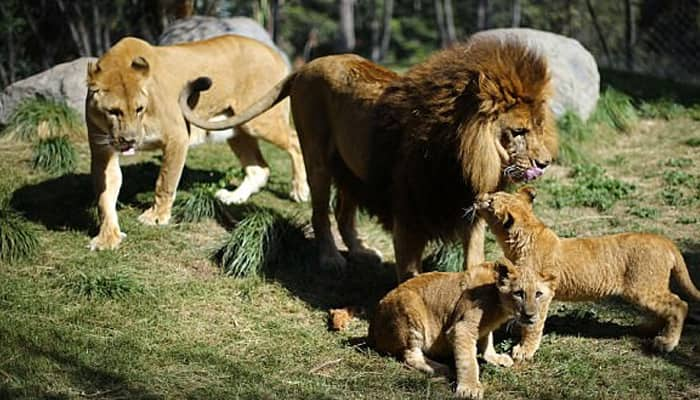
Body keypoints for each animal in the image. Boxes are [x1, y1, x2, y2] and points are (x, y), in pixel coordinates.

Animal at [85, 36, 308, 252]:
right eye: (113, 111)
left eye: (139, 109)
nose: (130, 140)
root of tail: (274, 52)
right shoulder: (102, 151)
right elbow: (105, 196)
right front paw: (107, 238)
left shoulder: (177, 137)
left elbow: (165, 181)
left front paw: (156, 217)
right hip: (237, 129)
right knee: (259, 168)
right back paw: (233, 197)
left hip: (259, 122)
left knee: (295, 142)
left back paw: (299, 190)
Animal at [179, 35, 556, 282]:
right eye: (518, 131)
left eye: (539, 127)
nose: (545, 163)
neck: (462, 158)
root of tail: (308, 65)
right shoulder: (408, 213)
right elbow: (409, 272)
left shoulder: (469, 212)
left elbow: (473, 262)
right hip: (317, 157)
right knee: (321, 214)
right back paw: (331, 259)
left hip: (351, 169)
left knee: (343, 213)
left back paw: (360, 250)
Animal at [370, 258, 556, 398]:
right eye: (519, 293)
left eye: (538, 294)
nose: (530, 315)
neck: (499, 304)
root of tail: (372, 328)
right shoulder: (462, 328)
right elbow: (468, 360)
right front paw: (469, 388)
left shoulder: (484, 328)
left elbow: (487, 341)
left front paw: (495, 358)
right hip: (410, 308)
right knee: (410, 355)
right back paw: (440, 368)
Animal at [476, 188, 700, 354]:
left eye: (491, 201)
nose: (478, 197)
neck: (524, 236)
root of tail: (665, 241)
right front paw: (518, 326)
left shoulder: (543, 292)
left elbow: (534, 325)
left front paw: (523, 351)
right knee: (664, 309)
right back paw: (645, 329)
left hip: (643, 289)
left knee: (679, 305)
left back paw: (666, 342)